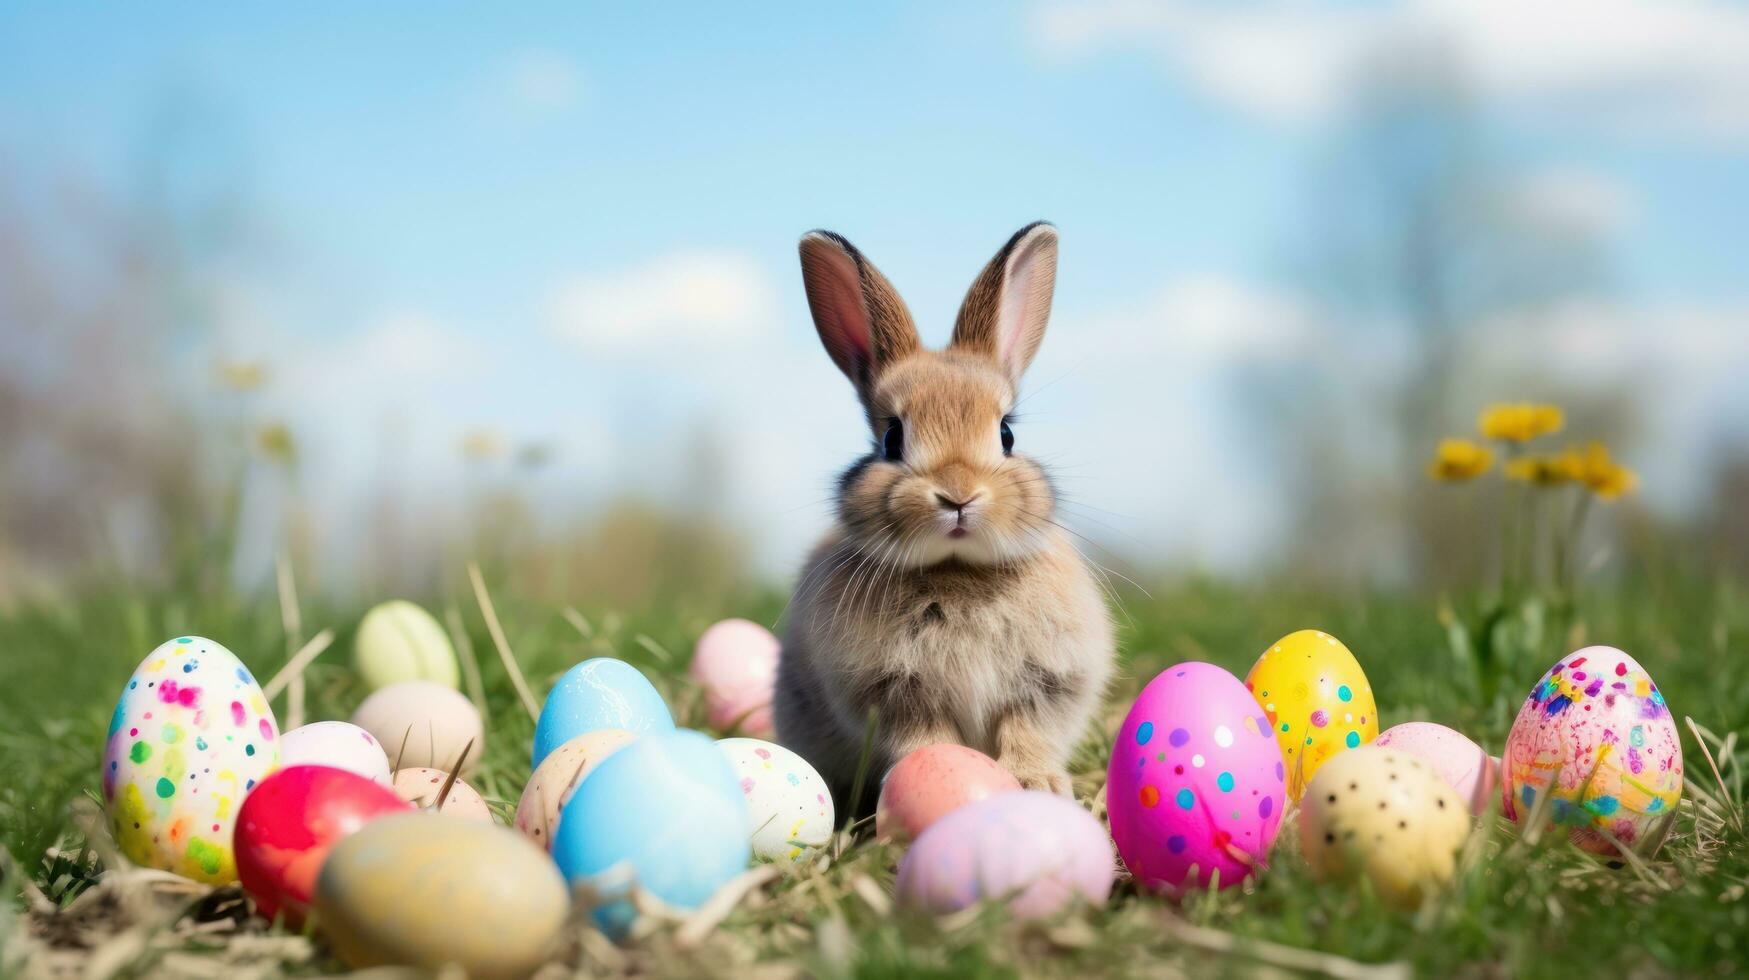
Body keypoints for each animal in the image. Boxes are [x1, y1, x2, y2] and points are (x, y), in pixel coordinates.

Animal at [776, 224, 1112, 812]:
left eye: (1007, 433)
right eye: (892, 438)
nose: (958, 496)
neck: (957, 570)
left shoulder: (1047, 682)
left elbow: (1028, 730)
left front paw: (1039, 784)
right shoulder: (893, 691)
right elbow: (923, 735)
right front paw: (935, 775)